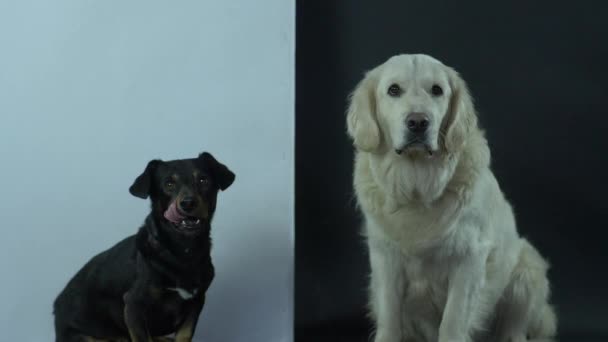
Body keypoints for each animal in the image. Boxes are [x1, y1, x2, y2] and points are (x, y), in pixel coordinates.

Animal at [52, 152, 235, 342]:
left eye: (203, 180)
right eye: (169, 184)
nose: (188, 203)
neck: (183, 250)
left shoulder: (196, 303)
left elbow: (184, 335)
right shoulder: (134, 306)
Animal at [346, 54, 556, 342]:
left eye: (437, 90)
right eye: (393, 90)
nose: (418, 122)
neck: (417, 184)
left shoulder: (469, 258)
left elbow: (453, 320)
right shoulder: (385, 256)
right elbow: (390, 317)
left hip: (527, 269)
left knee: (515, 327)